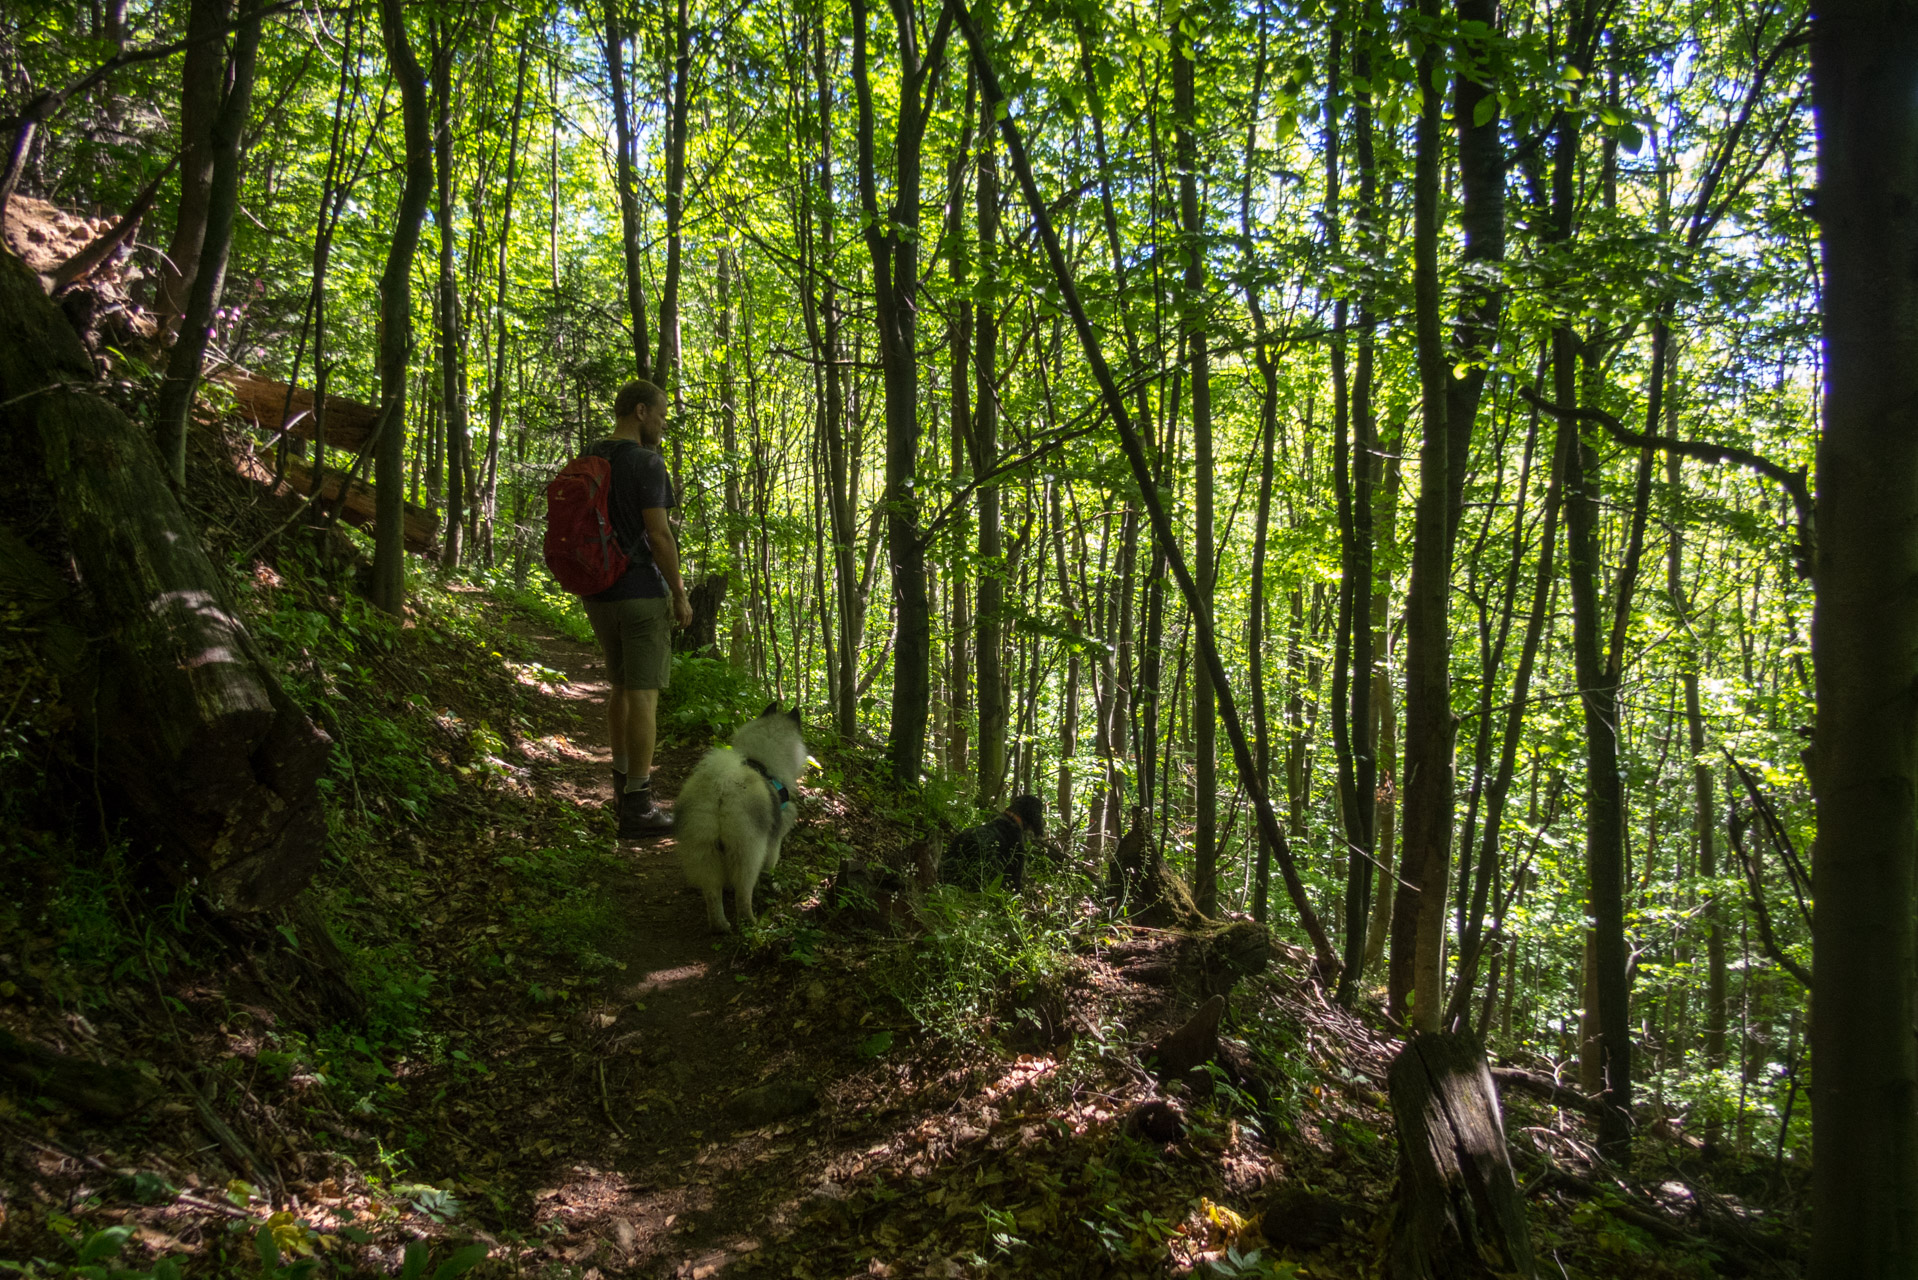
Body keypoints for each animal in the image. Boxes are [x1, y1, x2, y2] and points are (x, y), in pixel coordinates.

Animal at [671, 702, 805, 932]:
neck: (762, 762)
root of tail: (722, 786)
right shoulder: (774, 839)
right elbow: (771, 865)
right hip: (747, 850)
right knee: (743, 892)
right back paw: (750, 922)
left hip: (704, 847)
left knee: (712, 892)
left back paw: (720, 925)